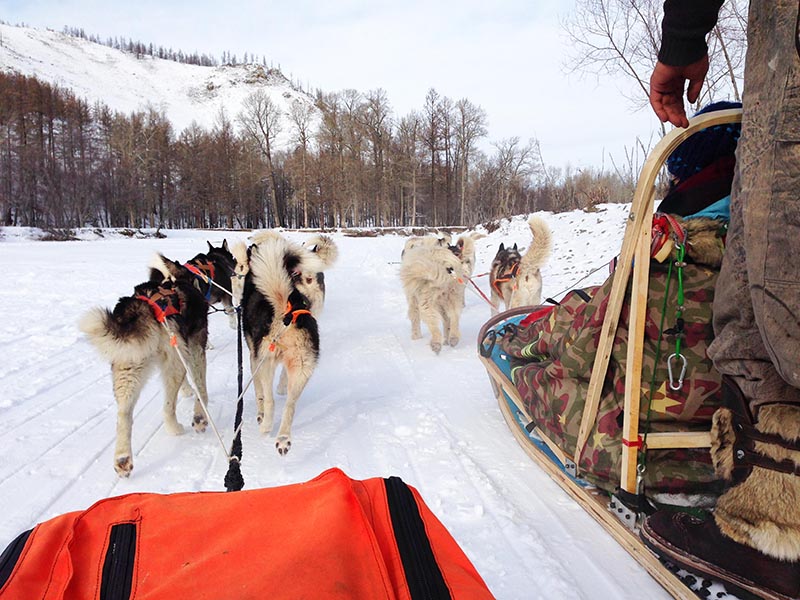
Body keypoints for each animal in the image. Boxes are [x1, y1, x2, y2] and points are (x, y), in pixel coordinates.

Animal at [79, 254, 212, 478]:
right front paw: (200, 414)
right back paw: (175, 428)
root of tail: (142, 306)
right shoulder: (195, 347)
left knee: (123, 415)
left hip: (128, 368)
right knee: (167, 407)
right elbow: (201, 385)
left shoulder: (183, 351)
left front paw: (187, 392)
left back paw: (123, 458)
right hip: (171, 363)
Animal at [241, 233, 324, 454]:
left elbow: (259, 394)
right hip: (302, 368)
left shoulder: (254, 359)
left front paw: (259, 414)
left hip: (266, 362)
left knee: (270, 400)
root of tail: (288, 311)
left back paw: (266, 426)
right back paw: (283, 438)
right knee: (290, 405)